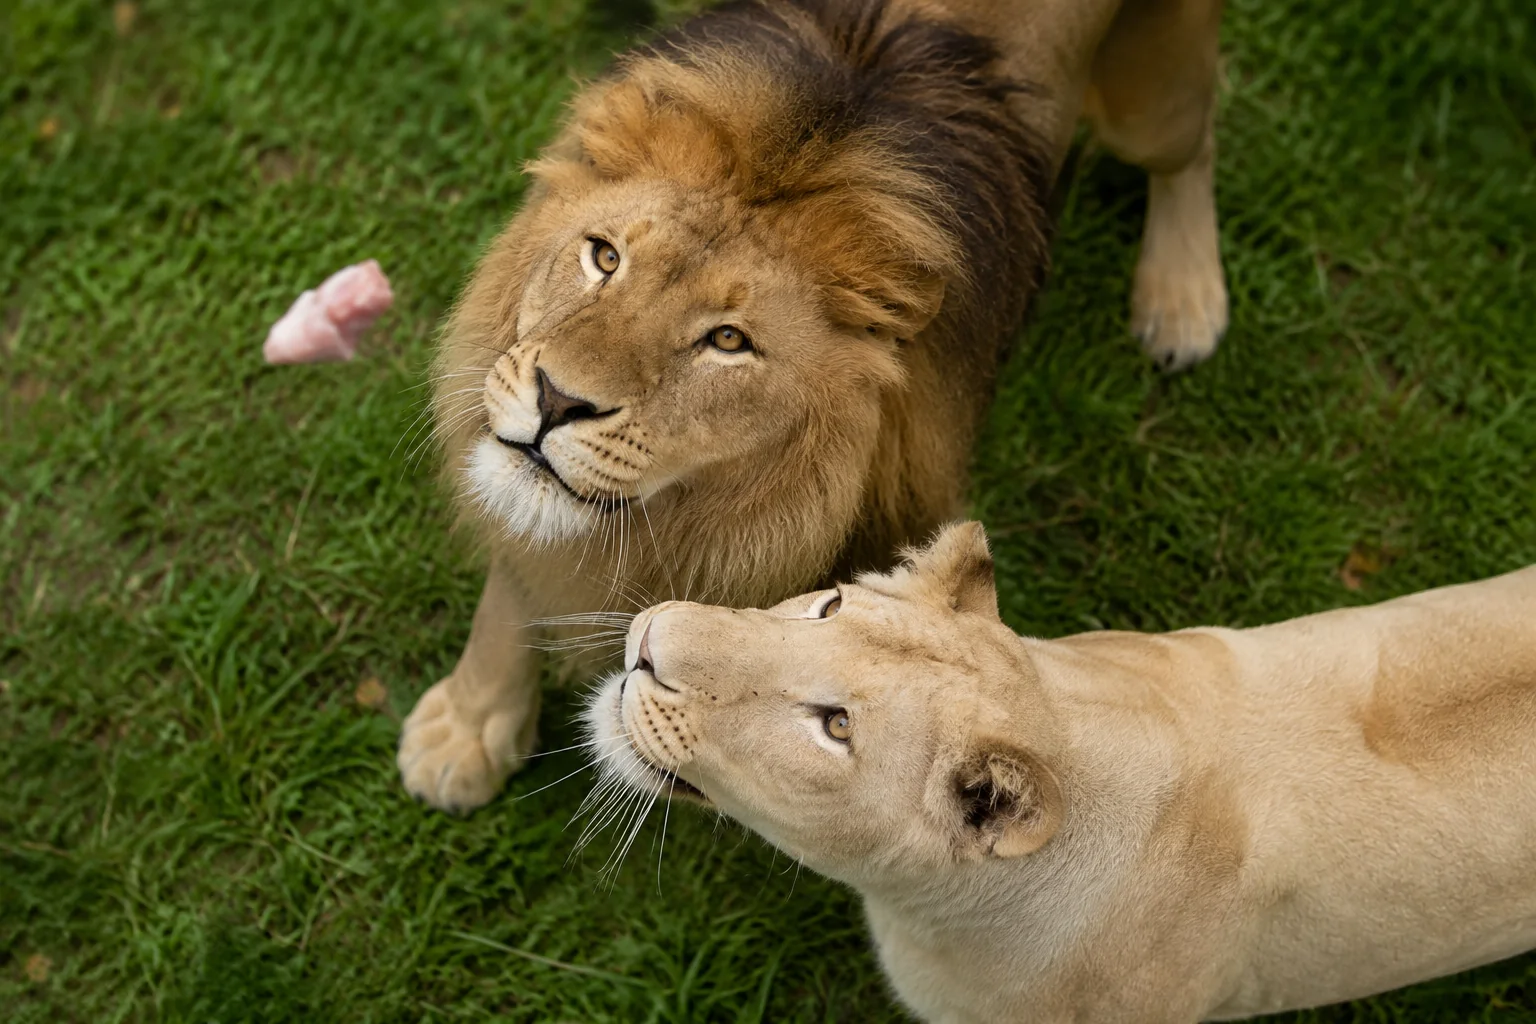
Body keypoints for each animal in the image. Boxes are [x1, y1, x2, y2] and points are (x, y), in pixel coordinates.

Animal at [400, 0, 1228, 811]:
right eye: (604, 257)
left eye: (728, 341)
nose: (557, 399)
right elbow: (513, 574)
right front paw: (468, 729)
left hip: (1151, 104)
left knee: (1195, 140)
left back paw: (1183, 299)